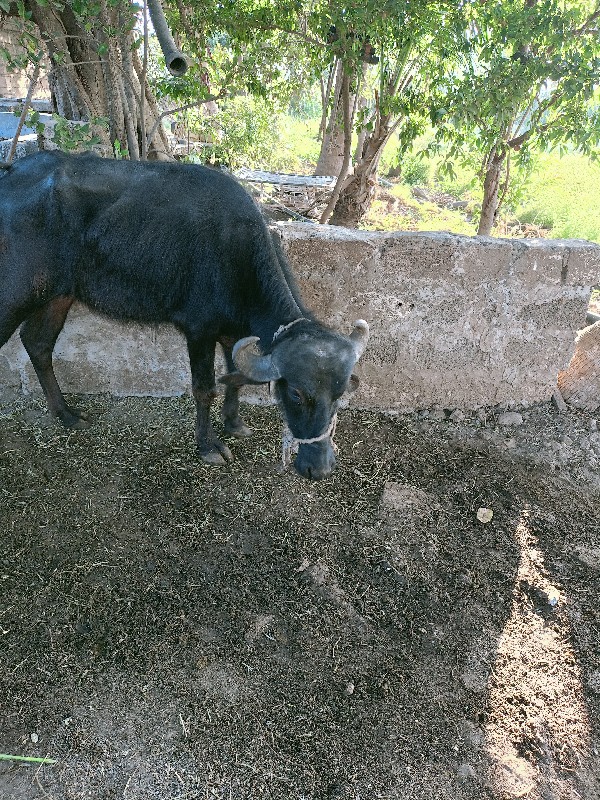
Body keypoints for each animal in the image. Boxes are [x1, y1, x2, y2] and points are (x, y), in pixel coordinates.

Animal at [0, 151, 366, 478]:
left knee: (38, 343)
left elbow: (236, 377)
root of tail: (12, 171)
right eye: (296, 393)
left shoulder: (233, 333)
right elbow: (205, 388)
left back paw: (66, 414)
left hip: (58, 294)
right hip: (17, 294)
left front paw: (234, 423)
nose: (319, 468)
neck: (235, 254)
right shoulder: (199, 329)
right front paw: (208, 446)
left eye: (339, 394)